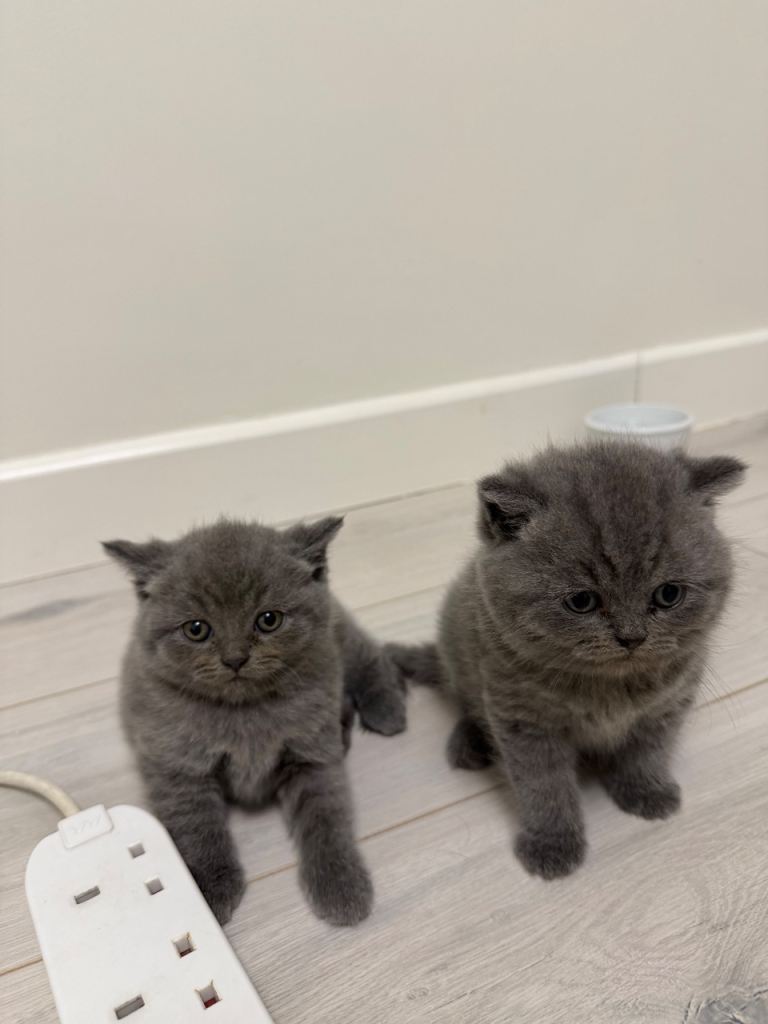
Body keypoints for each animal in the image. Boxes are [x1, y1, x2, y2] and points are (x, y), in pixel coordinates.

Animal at [104, 515, 406, 925]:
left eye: (268, 620)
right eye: (196, 629)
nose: (235, 658)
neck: (244, 710)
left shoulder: (312, 755)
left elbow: (327, 817)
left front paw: (341, 882)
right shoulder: (177, 765)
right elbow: (196, 826)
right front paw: (208, 887)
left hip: (337, 635)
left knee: (369, 653)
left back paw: (388, 709)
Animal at [390, 443, 745, 880]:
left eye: (668, 595)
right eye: (581, 601)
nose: (632, 637)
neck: (609, 688)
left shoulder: (669, 704)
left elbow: (649, 751)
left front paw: (646, 791)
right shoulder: (523, 719)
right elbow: (544, 785)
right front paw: (553, 844)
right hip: (460, 646)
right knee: (465, 699)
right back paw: (469, 742)